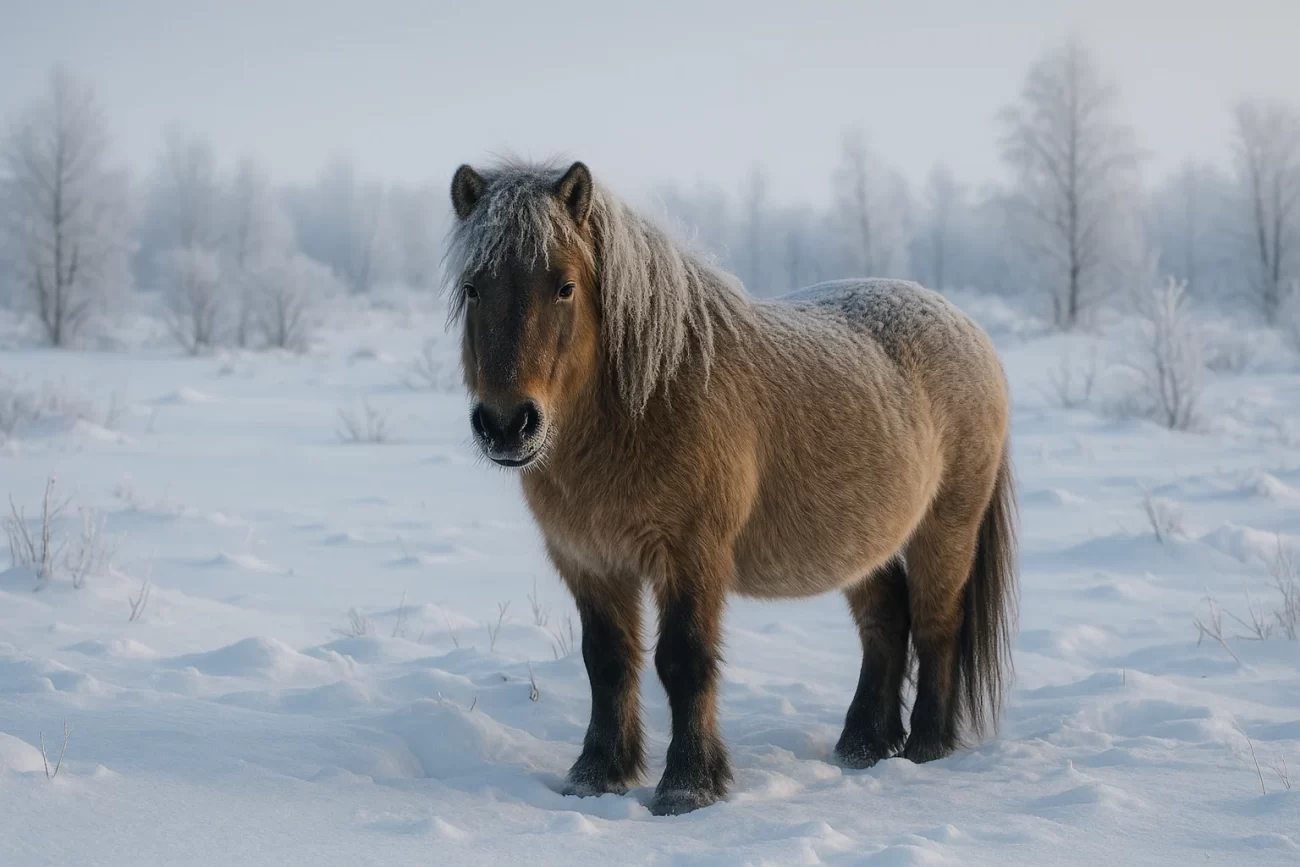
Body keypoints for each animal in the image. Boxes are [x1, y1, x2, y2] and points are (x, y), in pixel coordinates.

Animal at [443, 159, 1017, 816]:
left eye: (564, 286)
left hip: (945, 529)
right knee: (886, 620)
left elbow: (684, 660)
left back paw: (926, 747)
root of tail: (969, 328)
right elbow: (607, 662)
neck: (647, 403)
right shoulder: (589, 561)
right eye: (473, 288)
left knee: (936, 624)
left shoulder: (692, 557)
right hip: (861, 546)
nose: (507, 424)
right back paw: (862, 745)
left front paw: (689, 786)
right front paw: (597, 775)